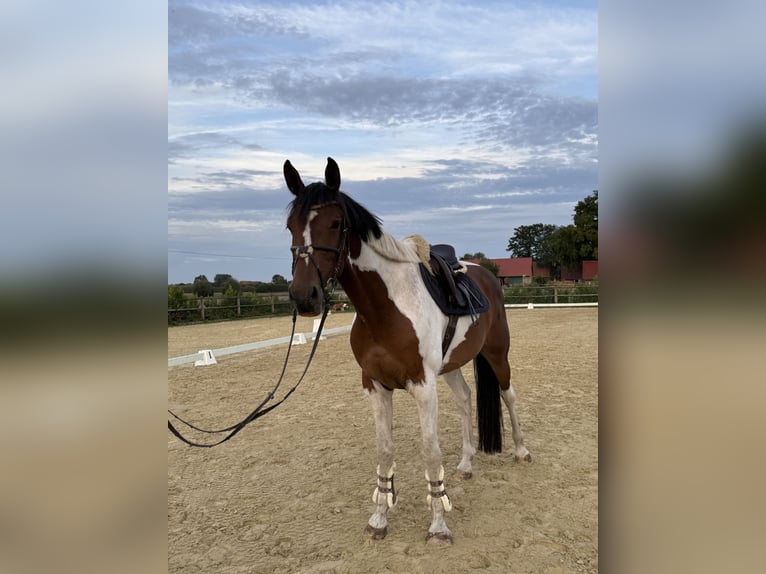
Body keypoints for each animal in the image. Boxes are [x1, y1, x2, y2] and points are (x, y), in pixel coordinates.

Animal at [284, 157, 531, 543]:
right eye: (290, 227)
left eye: (335, 223)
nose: (303, 296)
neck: (385, 308)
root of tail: (486, 274)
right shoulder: (375, 386)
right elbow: (385, 451)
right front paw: (379, 518)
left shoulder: (423, 386)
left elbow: (430, 451)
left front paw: (439, 524)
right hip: (452, 365)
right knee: (465, 400)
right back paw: (466, 463)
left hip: (497, 354)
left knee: (509, 395)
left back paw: (521, 451)